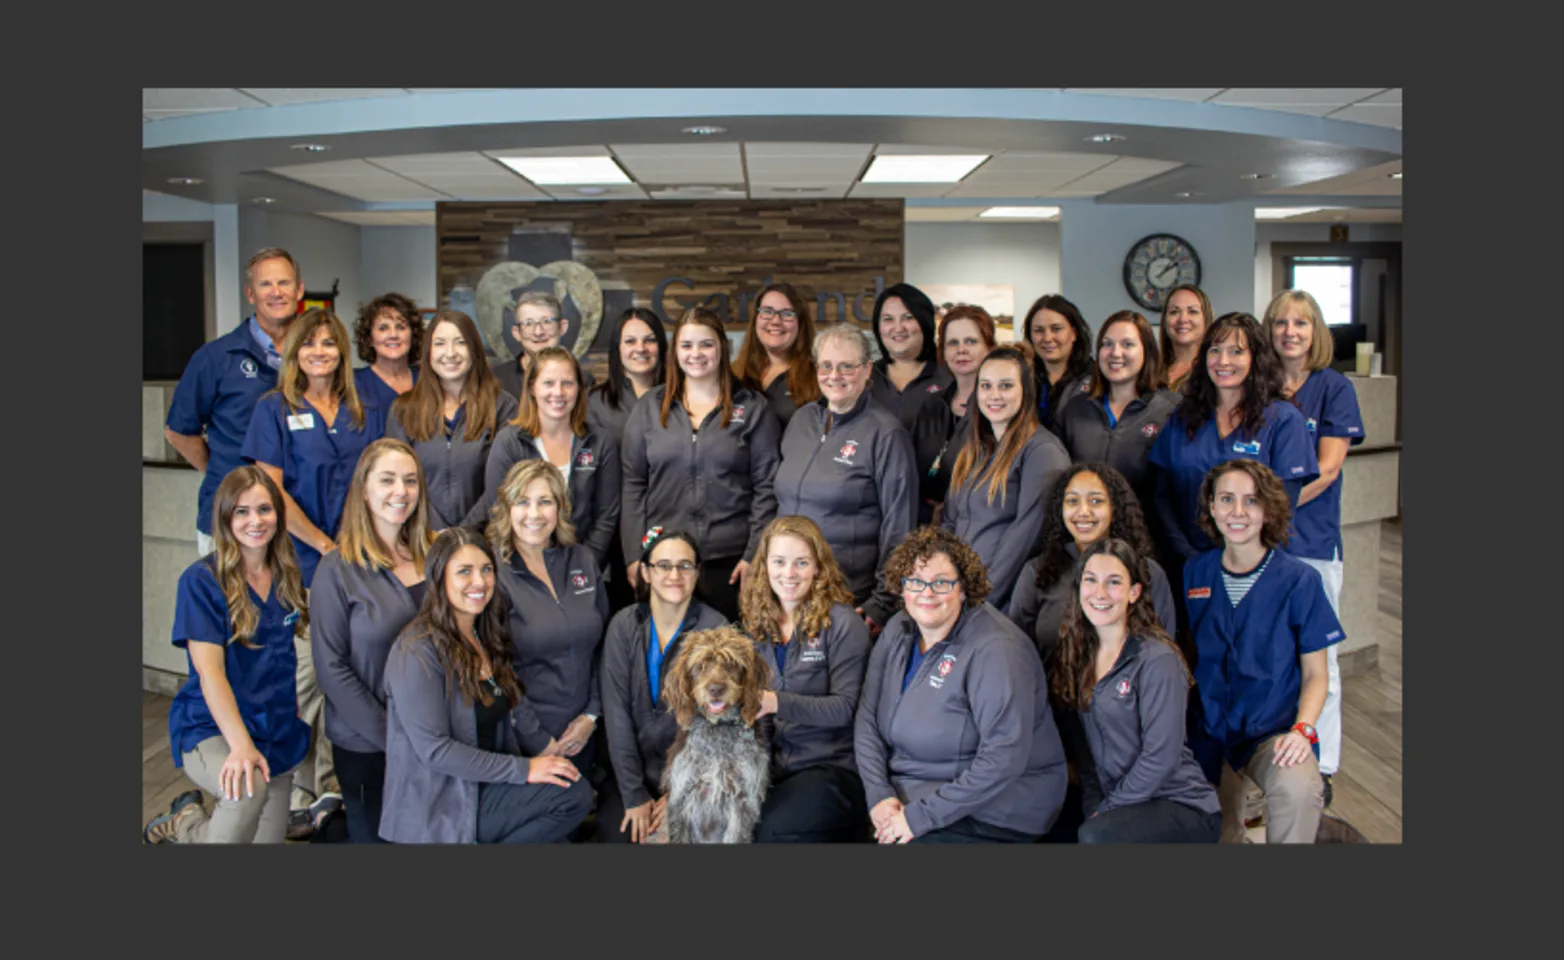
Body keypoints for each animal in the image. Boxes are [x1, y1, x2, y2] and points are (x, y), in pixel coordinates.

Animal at [660, 625, 769, 844]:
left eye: (732, 663)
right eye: (701, 665)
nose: (716, 689)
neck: (718, 728)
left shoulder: (742, 800)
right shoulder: (681, 797)